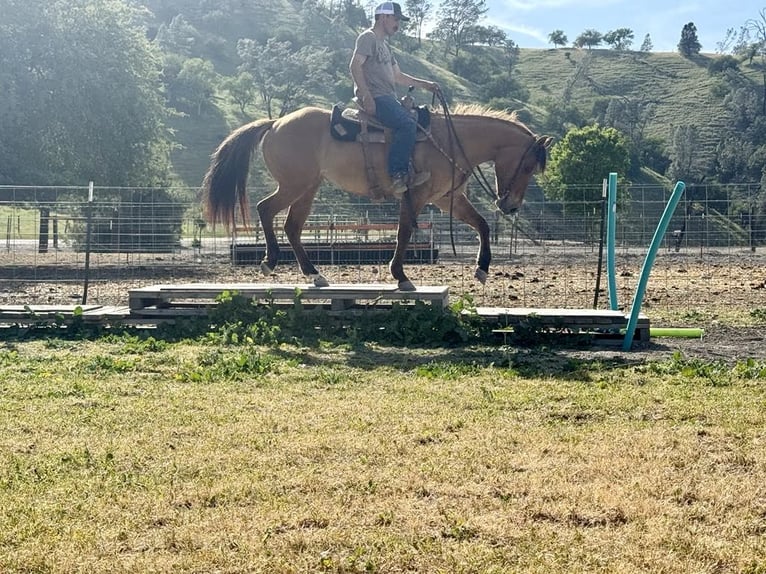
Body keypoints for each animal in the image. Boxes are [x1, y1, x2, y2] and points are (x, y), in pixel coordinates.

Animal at [202, 104, 552, 291]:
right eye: (528, 166)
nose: (511, 206)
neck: (450, 141)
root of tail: (275, 123)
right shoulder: (417, 195)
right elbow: (404, 233)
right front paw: (400, 276)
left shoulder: (446, 199)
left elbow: (481, 225)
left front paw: (481, 269)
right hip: (295, 184)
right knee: (266, 210)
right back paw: (271, 261)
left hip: (308, 187)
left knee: (292, 226)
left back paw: (314, 274)